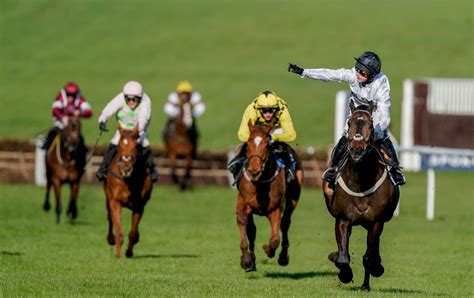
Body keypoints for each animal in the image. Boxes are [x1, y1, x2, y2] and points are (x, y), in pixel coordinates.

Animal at [104, 124, 153, 258]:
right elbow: (118, 231)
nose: (126, 167)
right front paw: (119, 256)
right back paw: (110, 239)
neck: (128, 180)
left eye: (135, 146)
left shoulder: (139, 206)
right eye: (120, 145)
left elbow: (133, 233)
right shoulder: (115, 201)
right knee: (109, 217)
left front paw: (129, 252)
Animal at [236, 121, 304, 272]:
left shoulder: (275, 209)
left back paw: (283, 257)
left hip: (293, 197)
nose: (254, 171)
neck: (260, 184)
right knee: (252, 230)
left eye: (267, 145)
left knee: (285, 223)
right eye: (248, 144)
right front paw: (246, 261)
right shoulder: (244, 204)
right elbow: (245, 227)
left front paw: (268, 249)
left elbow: (274, 239)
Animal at [322, 102, 400, 292]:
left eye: (370, 125)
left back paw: (368, 281)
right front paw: (344, 272)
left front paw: (375, 270)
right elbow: (343, 257)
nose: (357, 150)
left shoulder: (376, 222)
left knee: (372, 253)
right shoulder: (343, 220)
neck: (361, 181)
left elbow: (369, 256)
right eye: (350, 123)